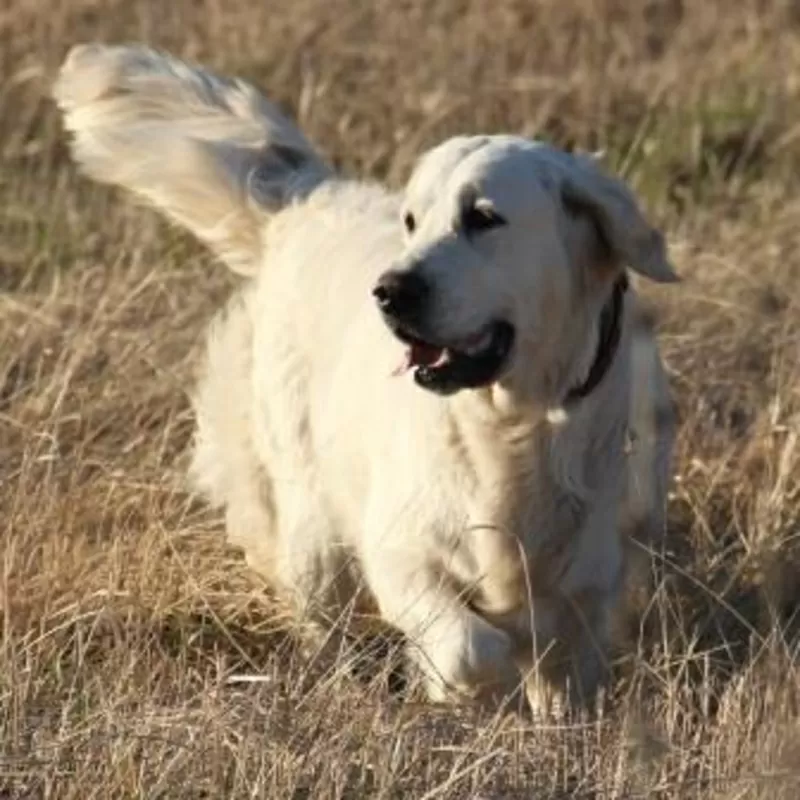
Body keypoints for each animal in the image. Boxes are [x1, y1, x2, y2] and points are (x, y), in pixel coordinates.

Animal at [53, 47, 676, 716]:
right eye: (412, 221)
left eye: (483, 217)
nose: (390, 291)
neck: (514, 424)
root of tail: (305, 197)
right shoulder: (399, 549)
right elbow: (472, 647)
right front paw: (462, 688)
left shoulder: (587, 583)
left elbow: (565, 677)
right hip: (312, 522)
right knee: (318, 611)